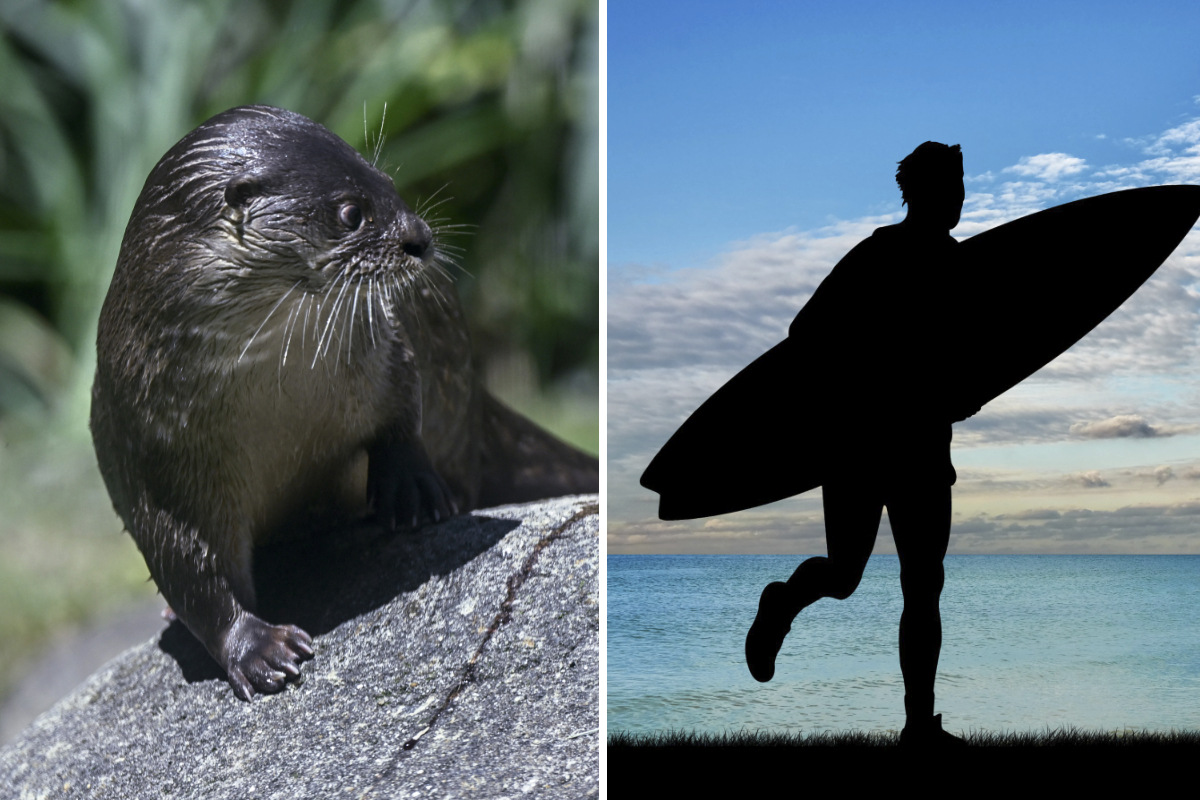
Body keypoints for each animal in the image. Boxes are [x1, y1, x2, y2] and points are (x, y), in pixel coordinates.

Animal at [90, 106, 600, 700]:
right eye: (351, 213)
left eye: (390, 185)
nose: (420, 238)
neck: (276, 408)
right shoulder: (151, 455)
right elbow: (190, 571)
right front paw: (257, 649)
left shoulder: (388, 353)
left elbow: (401, 418)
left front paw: (413, 491)